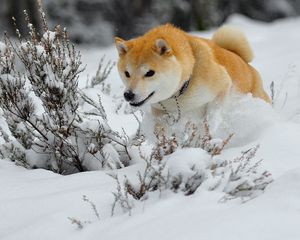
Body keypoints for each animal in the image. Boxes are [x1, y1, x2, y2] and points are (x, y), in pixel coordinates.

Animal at [113, 24, 270, 121]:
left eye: (150, 73)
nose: (128, 95)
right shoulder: (159, 110)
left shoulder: (223, 86)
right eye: (127, 73)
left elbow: (211, 118)